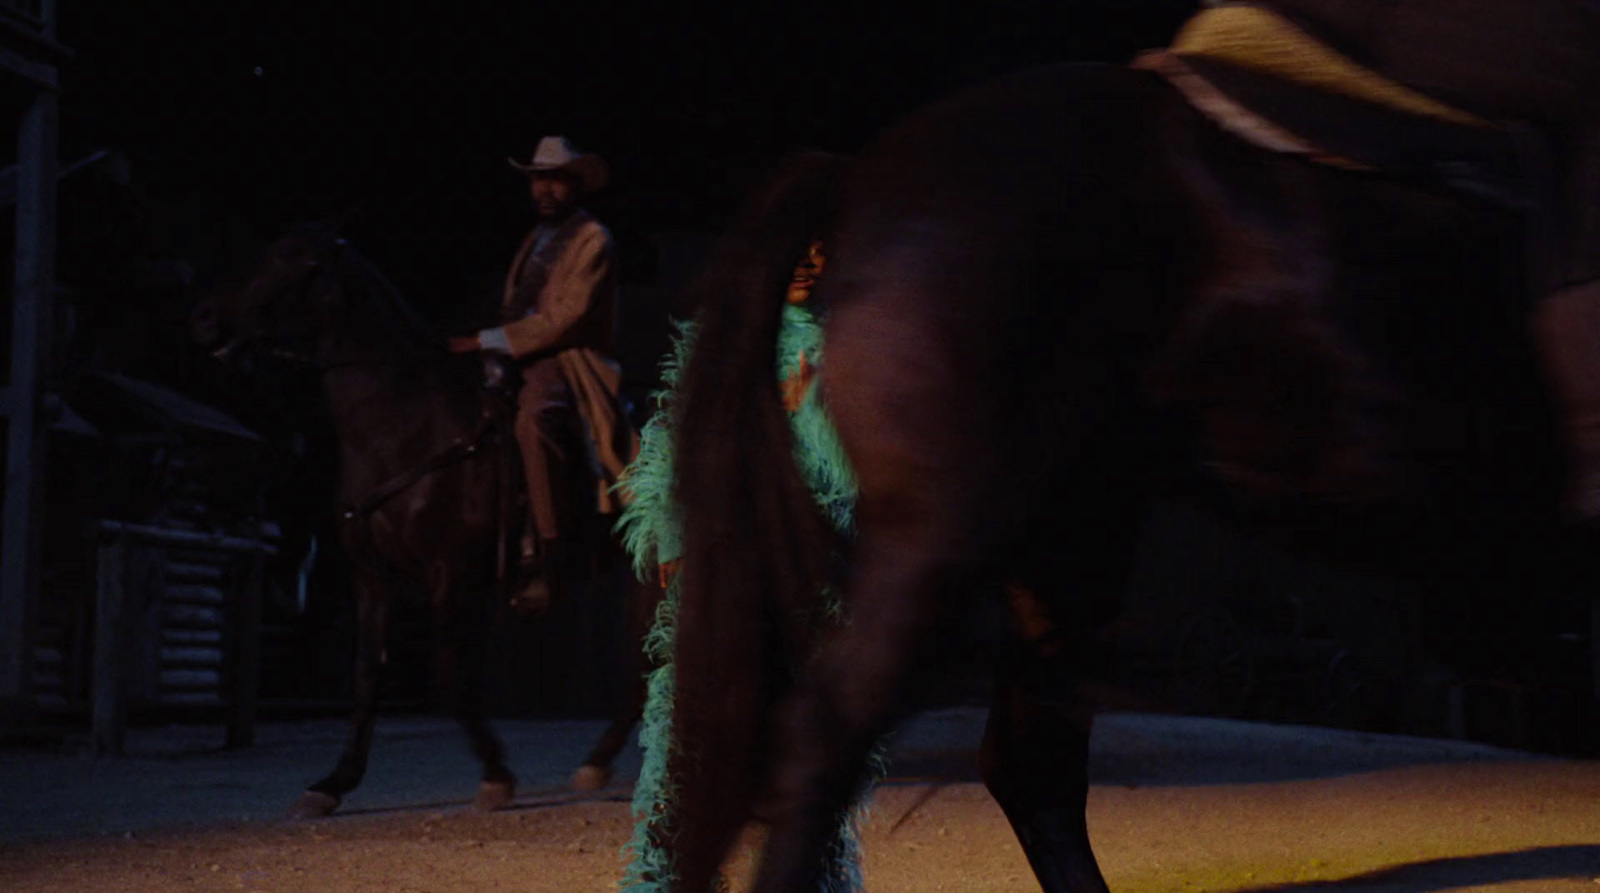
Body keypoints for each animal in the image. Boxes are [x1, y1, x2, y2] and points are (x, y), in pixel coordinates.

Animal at [190, 224, 659, 819]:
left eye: (295, 261)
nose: (204, 318)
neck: (406, 427)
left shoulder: (447, 575)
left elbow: (449, 670)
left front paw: (495, 773)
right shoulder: (371, 577)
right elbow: (367, 672)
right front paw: (334, 782)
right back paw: (598, 763)